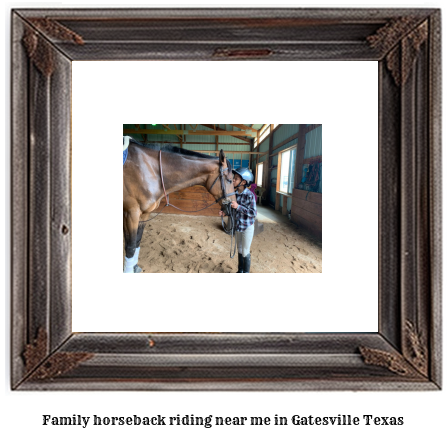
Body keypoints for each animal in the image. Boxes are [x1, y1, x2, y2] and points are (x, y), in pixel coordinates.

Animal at [121, 139, 236, 272]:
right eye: (229, 180)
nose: (232, 207)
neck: (149, 169)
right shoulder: (131, 213)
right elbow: (130, 247)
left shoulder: (144, 214)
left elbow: (137, 242)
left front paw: (135, 267)